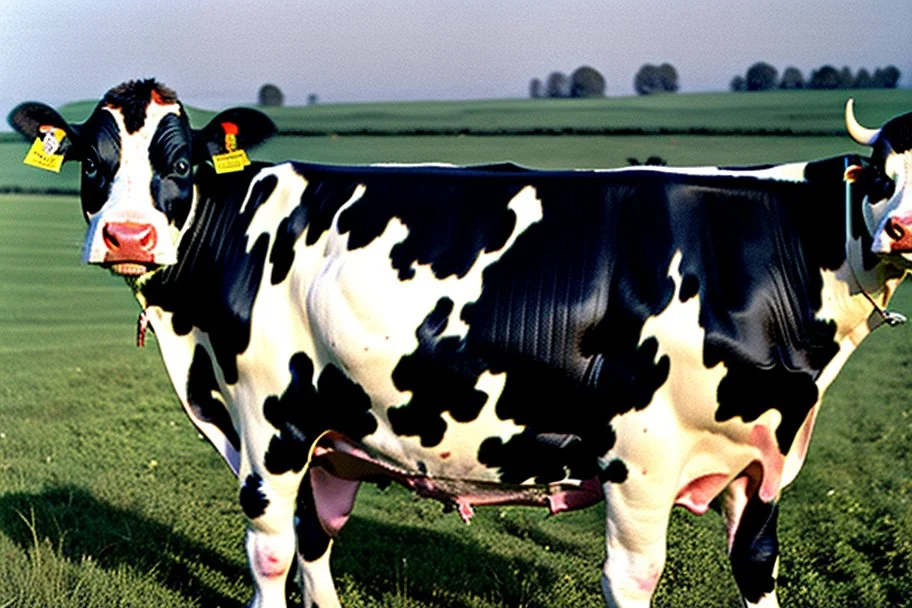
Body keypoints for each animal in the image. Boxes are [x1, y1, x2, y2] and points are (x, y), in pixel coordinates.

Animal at [7, 81, 912, 608]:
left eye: (182, 160)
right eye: (91, 160)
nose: (128, 235)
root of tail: (272, 176)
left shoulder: (763, 455)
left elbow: (756, 566)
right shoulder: (643, 459)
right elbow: (633, 579)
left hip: (315, 429)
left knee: (308, 539)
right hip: (272, 426)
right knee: (273, 551)